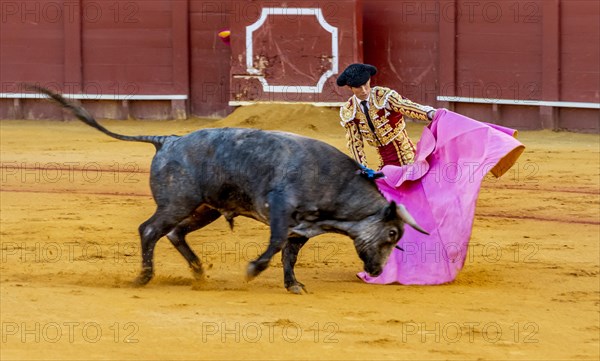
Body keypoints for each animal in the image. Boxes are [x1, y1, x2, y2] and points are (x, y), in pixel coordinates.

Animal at [35, 86, 426, 292]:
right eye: (392, 233)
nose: (377, 272)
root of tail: (167, 140)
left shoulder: (301, 230)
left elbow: (288, 254)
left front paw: (293, 285)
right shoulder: (281, 211)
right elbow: (275, 244)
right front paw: (253, 269)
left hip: (203, 209)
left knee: (174, 234)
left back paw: (198, 271)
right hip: (177, 203)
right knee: (149, 230)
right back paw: (144, 277)